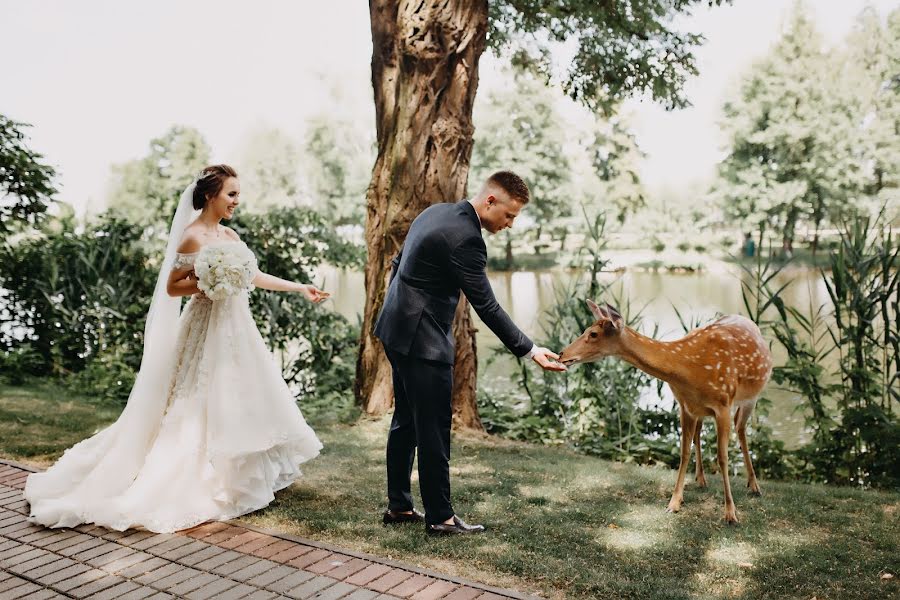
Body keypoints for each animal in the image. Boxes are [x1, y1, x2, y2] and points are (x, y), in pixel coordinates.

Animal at [556, 302, 772, 524]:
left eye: (593, 333)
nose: (562, 354)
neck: (691, 369)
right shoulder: (686, 406)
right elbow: (684, 453)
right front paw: (674, 503)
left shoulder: (723, 403)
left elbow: (723, 457)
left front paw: (730, 513)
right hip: (702, 410)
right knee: (702, 432)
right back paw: (701, 480)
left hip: (750, 397)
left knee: (741, 428)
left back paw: (754, 486)